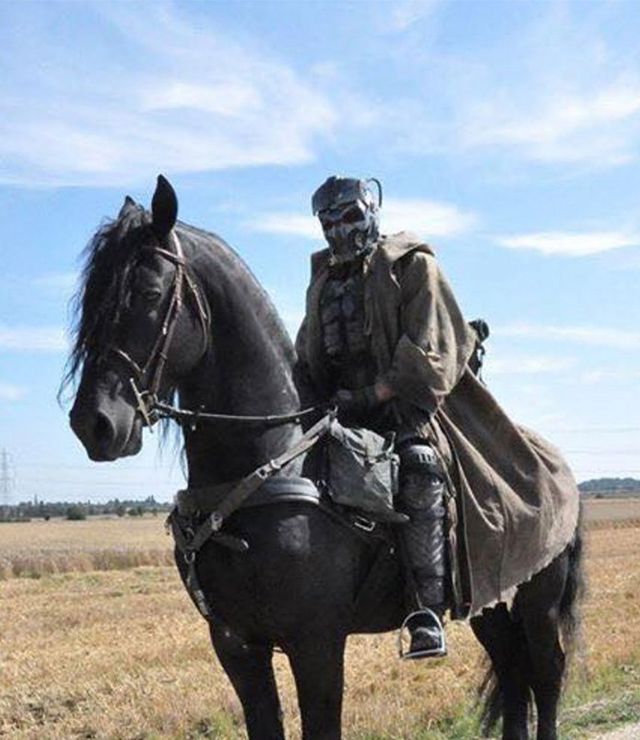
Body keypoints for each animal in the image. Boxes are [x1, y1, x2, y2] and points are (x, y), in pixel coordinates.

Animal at [66, 175, 584, 740]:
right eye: (91, 302)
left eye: (150, 293)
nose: (95, 423)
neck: (270, 463)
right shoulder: (237, 648)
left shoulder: (316, 644)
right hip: (486, 595)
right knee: (512, 670)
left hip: (538, 598)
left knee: (546, 671)